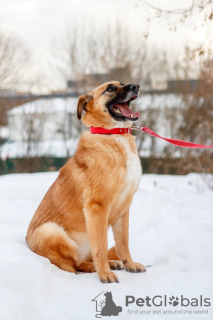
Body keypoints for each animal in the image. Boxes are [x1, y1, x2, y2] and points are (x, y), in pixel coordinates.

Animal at [25, 80, 146, 282]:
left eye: (122, 83)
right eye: (110, 88)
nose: (136, 86)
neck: (113, 134)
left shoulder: (124, 209)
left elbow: (123, 243)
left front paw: (130, 264)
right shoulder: (97, 207)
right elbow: (101, 247)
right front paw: (104, 274)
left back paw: (113, 263)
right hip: (50, 231)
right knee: (76, 264)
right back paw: (99, 267)